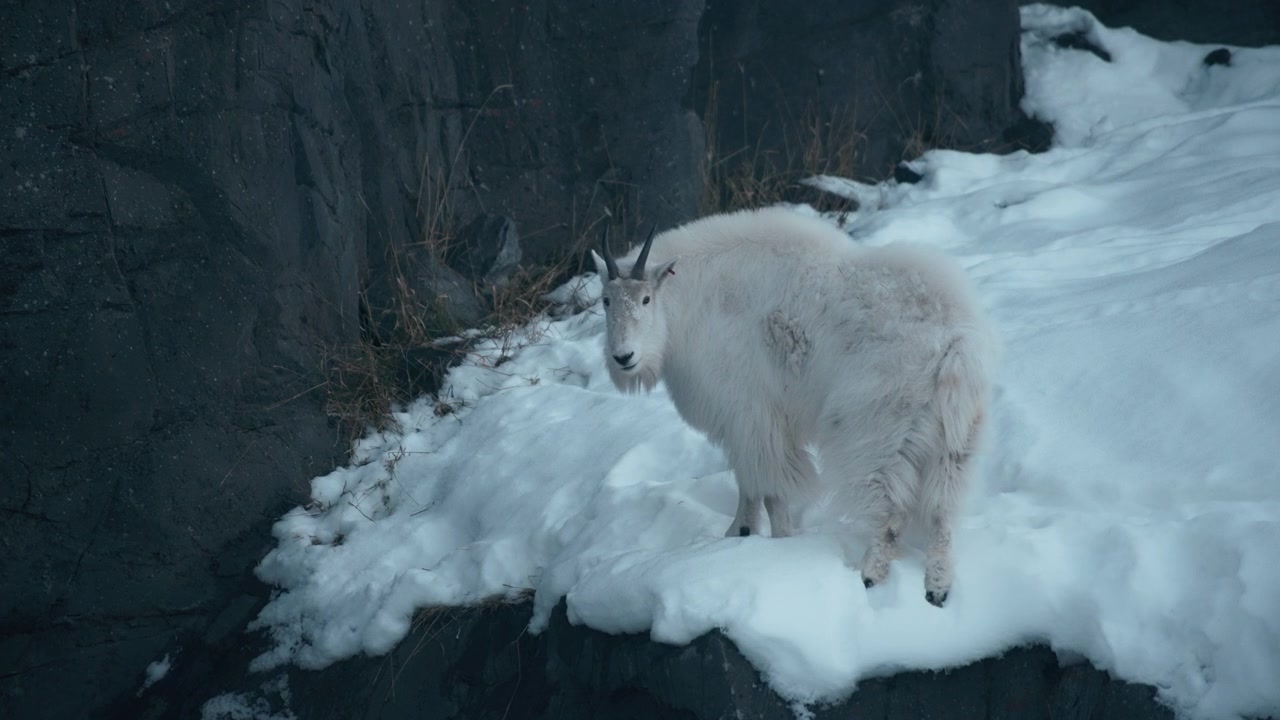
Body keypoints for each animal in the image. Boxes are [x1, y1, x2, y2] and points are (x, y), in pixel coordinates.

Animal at [591, 206, 997, 606]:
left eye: (645, 299)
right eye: (606, 300)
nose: (623, 357)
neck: (693, 300)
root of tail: (955, 343)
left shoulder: (749, 417)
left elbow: (765, 488)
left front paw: (769, 539)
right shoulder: (753, 424)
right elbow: (751, 484)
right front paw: (737, 534)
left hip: (872, 431)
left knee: (890, 511)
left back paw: (870, 574)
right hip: (954, 437)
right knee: (943, 511)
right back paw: (937, 587)